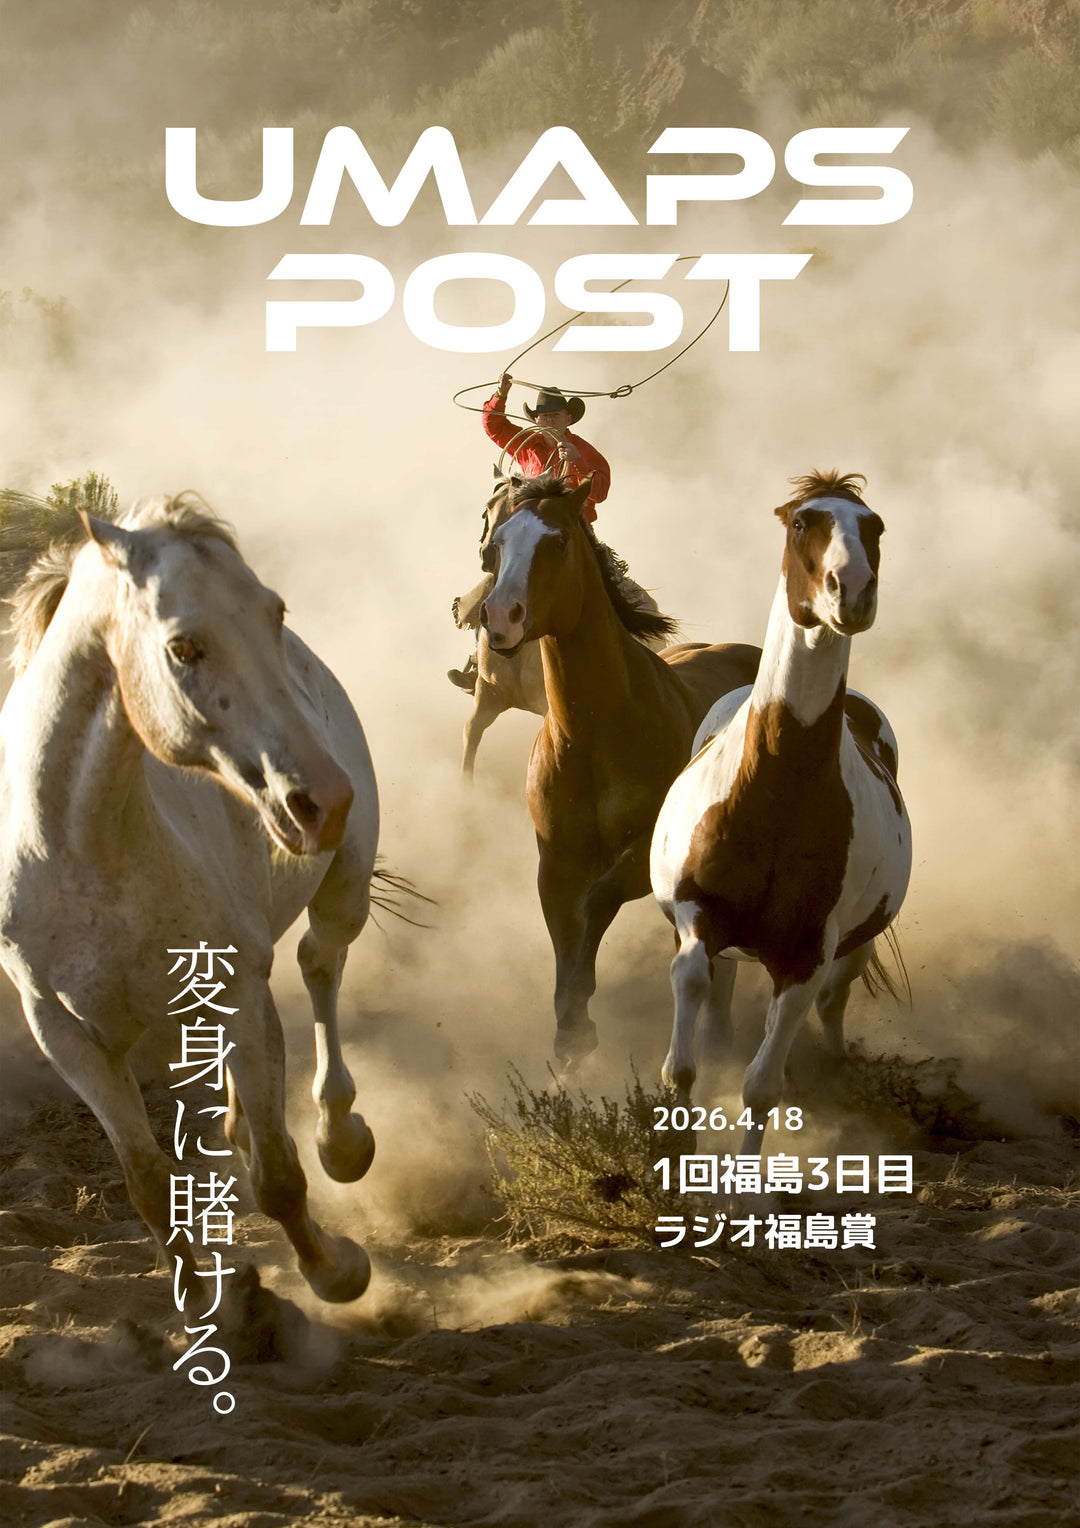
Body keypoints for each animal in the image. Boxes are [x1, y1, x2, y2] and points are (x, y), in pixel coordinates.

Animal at [0, 494, 379, 1324]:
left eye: (273, 612)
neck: (82, 854)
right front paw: (199, 1298)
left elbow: (279, 1177)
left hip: (344, 889)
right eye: (184, 647)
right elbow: (145, 1181)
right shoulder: (66, 1035)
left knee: (320, 966)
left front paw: (337, 1272)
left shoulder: (230, 987)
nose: (322, 800)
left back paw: (341, 1137)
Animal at [479, 474, 761, 1068]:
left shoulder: (640, 863)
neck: (594, 735)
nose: (499, 617)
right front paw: (570, 1031)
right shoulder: (556, 864)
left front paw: (579, 1021)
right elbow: (566, 933)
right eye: (498, 543)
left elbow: (597, 905)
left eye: (558, 541)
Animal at [650, 472, 912, 1155]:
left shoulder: (804, 956)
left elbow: (762, 1085)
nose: (853, 592)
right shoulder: (697, 915)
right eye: (801, 523)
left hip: (850, 949)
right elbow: (685, 1037)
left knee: (829, 1006)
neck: (775, 791)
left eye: (875, 526)